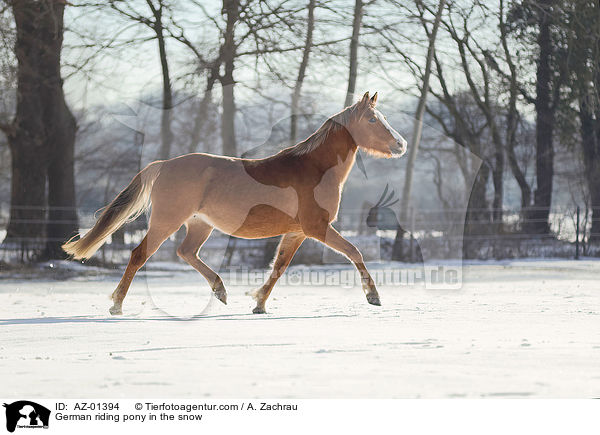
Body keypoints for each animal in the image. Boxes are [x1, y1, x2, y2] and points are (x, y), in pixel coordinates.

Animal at [62, 93, 408, 316]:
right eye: (373, 119)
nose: (400, 144)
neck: (313, 168)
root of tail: (163, 165)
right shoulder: (317, 228)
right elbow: (354, 252)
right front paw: (373, 296)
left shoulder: (297, 232)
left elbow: (278, 267)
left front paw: (259, 303)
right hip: (166, 221)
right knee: (139, 255)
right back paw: (116, 305)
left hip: (199, 225)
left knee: (185, 252)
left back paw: (221, 290)